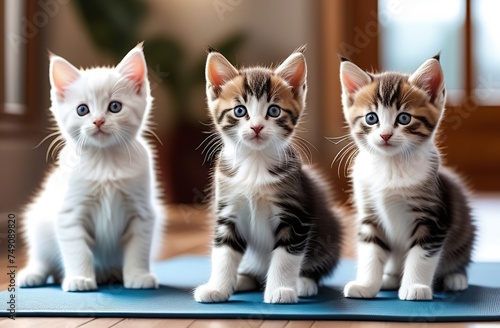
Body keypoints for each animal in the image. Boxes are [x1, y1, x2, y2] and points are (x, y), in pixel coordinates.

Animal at [19, 43, 164, 292]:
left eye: (115, 107)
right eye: (82, 110)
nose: (98, 121)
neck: (105, 162)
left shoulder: (143, 213)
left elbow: (138, 248)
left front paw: (138, 276)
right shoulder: (70, 213)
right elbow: (78, 250)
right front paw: (79, 278)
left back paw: (112, 273)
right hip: (38, 221)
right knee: (42, 256)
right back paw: (33, 274)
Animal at [195, 47, 344, 304]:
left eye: (273, 111)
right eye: (240, 111)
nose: (256, 127)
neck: (254, 164)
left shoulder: (296, 215)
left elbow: (286, 256)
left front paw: (281, 289)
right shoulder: (227, 211)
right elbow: (224, 253)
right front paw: (217, 288)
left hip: (331, 229)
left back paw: (303, 282)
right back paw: (242, 279)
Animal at [340, 55, 476, 300]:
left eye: (404, 118)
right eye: (371, 118)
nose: (385, 135)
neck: (390, 165)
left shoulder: (433, 219)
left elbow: (421, 256)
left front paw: (415, 287)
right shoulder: (369, 216)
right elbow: (370, 253)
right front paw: (366, 285)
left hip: (464, 226)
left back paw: (455, 278)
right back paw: (390, 279)